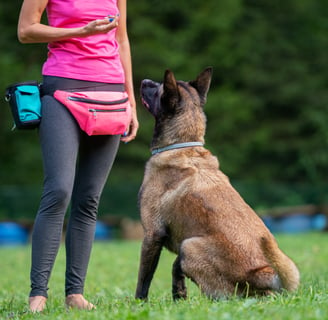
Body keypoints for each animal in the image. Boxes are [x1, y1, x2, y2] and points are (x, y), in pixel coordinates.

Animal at [135, 67, 298, 300]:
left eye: (159, 89)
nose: (145, 80)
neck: (182, 145)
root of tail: (262, 273)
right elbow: (175, 269)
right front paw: (179, 295)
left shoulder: (152, 235)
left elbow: (144, 279)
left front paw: (138, 303)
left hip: (189, 246)